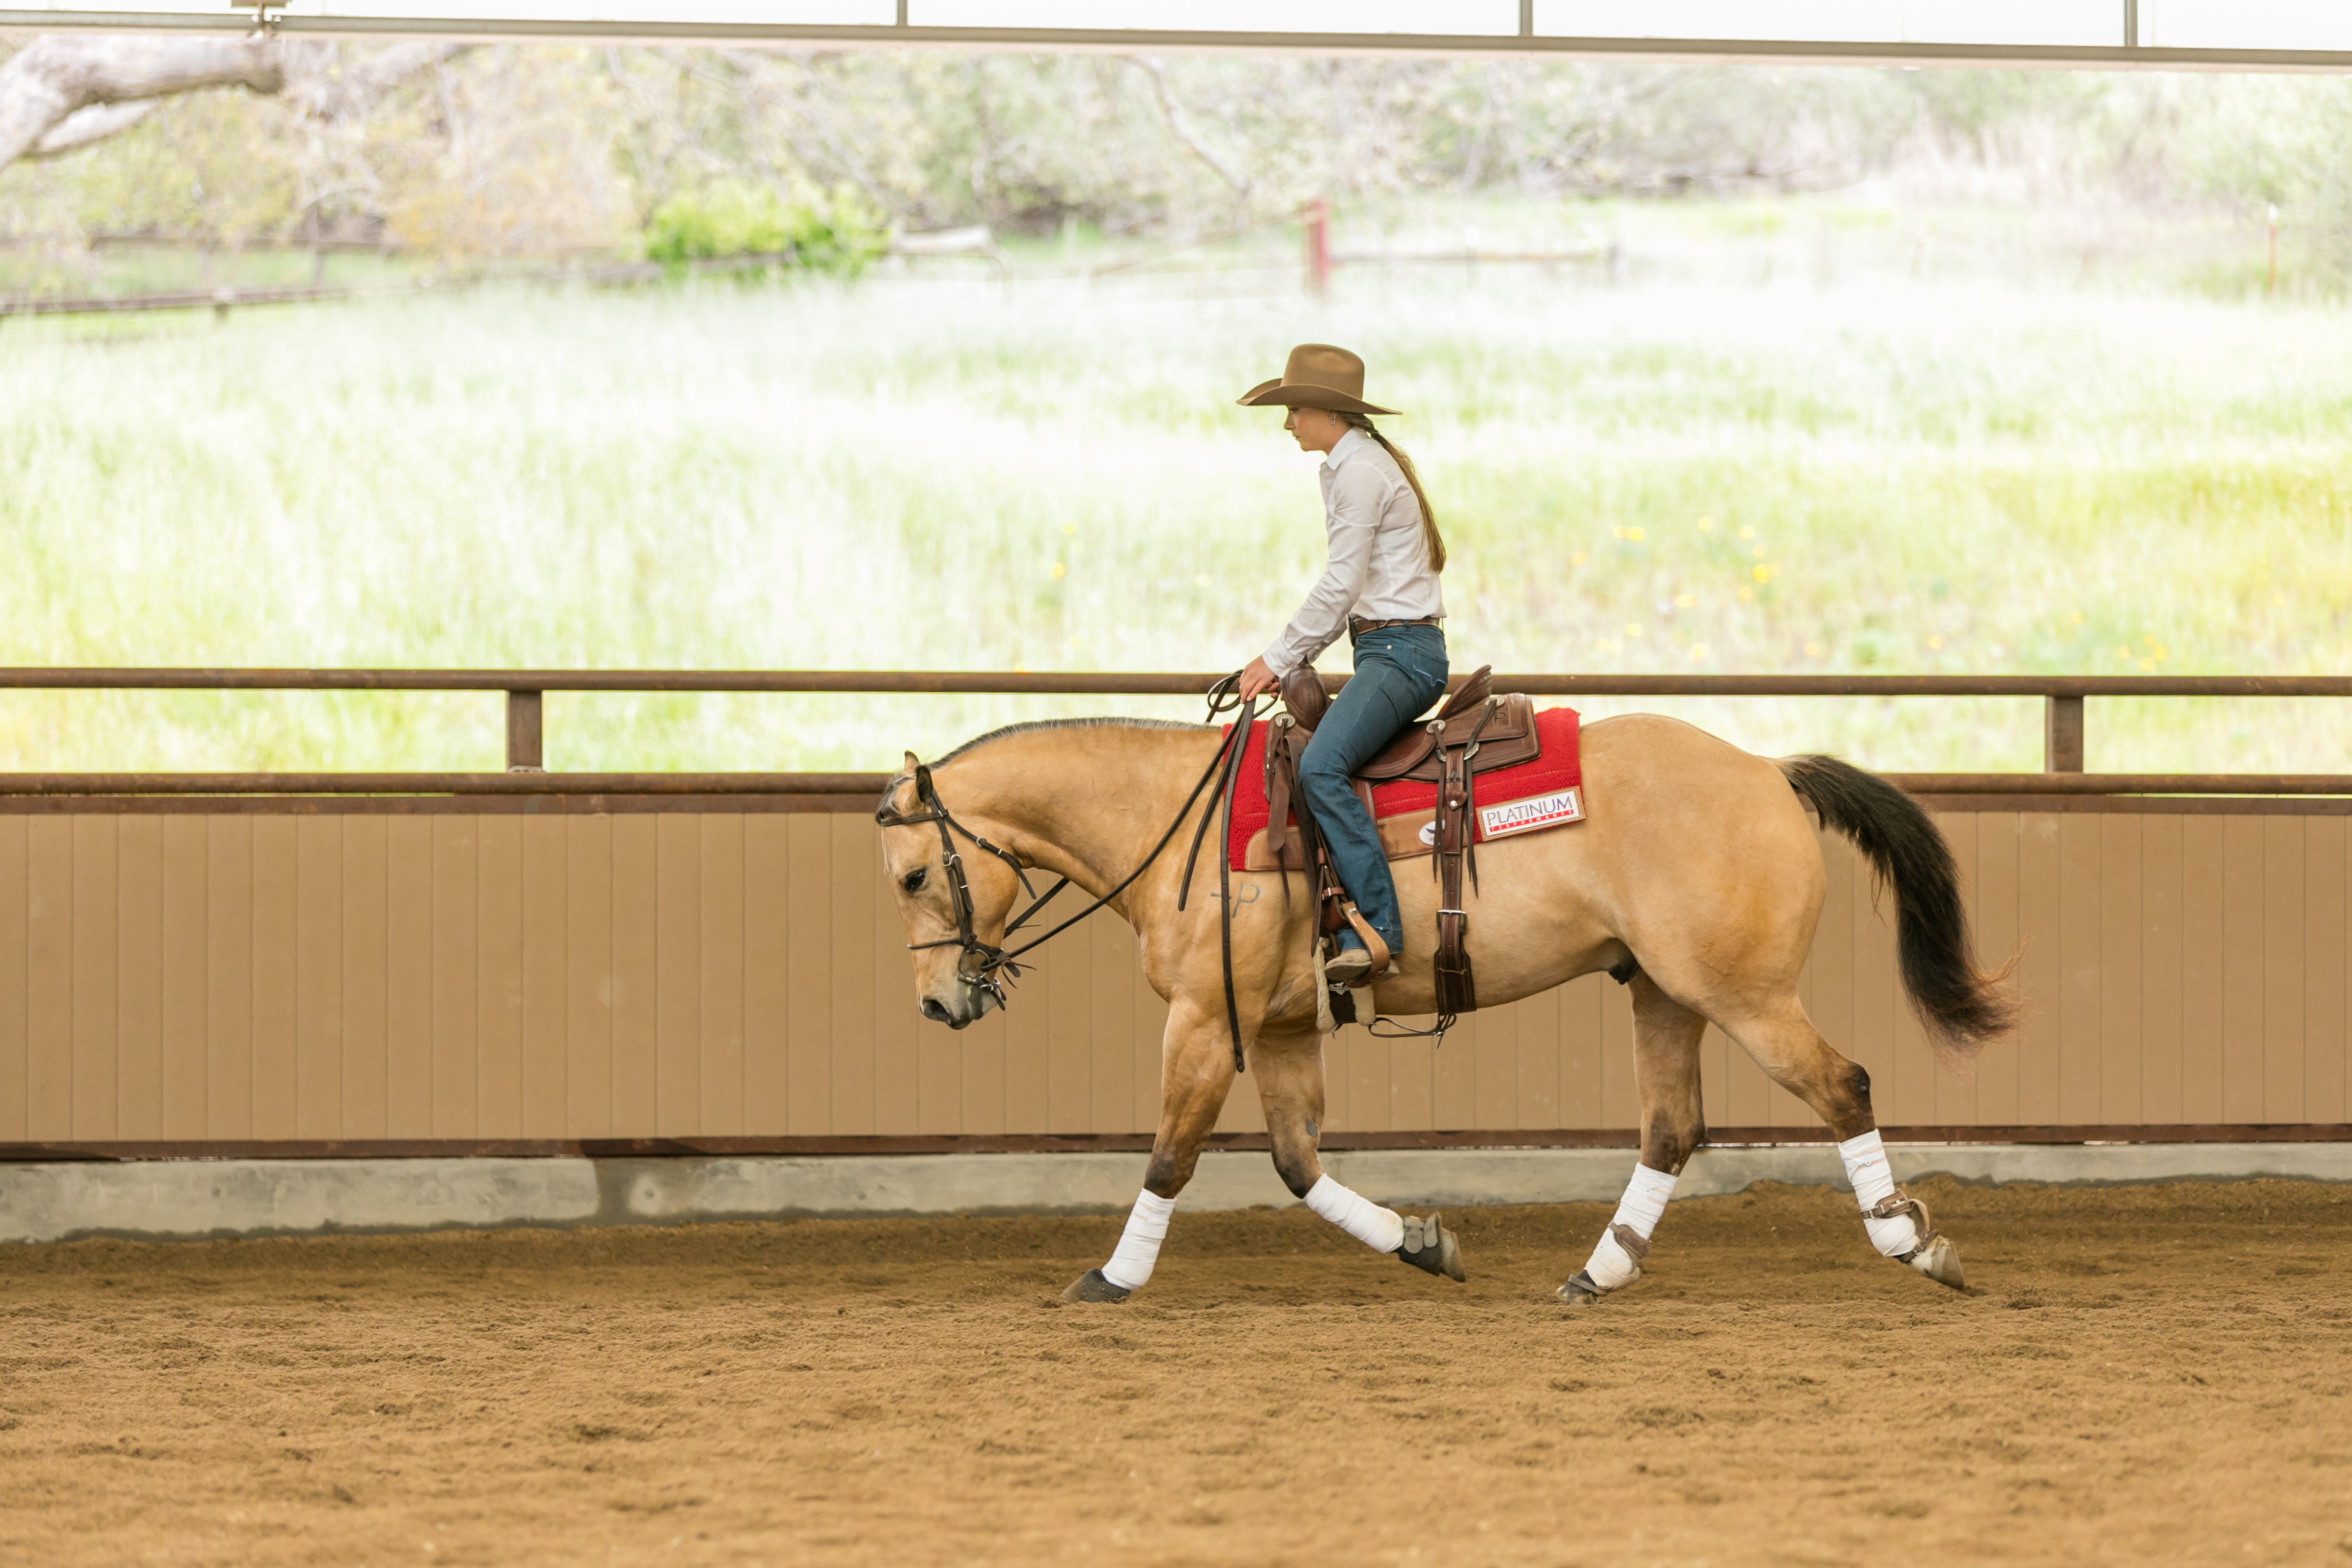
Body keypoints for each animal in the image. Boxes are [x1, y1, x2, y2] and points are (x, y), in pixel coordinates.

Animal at [874, 707, 2015, 1306]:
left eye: (913, 875)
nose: (932, 1003)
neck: (1175, 822)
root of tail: (1769, 771)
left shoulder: (1203, 1023)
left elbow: (1167, 1158)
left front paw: (1112, 1278)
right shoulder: (1277, 1029)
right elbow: (1296, 1165)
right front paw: (1421, 1243)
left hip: (1744, 996)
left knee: (1841, 1085)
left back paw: (1911, 1246)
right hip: (1664, 995)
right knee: (1670, 1129)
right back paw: (1595, 1273)